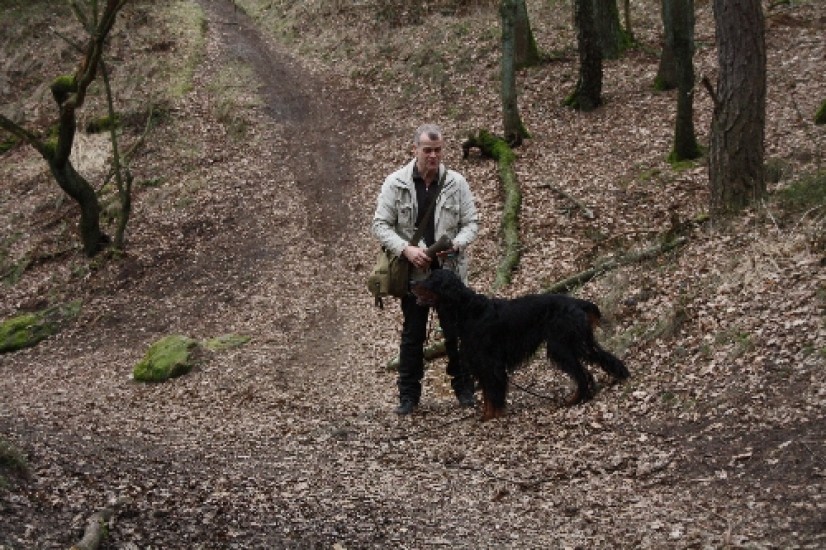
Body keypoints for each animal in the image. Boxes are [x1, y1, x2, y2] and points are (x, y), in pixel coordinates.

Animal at [412, 269, 629, 421]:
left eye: (431, 278)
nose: (412, 282)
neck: (468, 310)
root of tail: (578, 302)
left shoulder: (490, 362)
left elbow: (493, 391)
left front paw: (492, 416)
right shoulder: (480, 361)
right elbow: (487, 393)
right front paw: (486, 415)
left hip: (560, 346)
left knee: (582, 374)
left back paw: (572, 401)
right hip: (576, 343)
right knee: (596, 362)